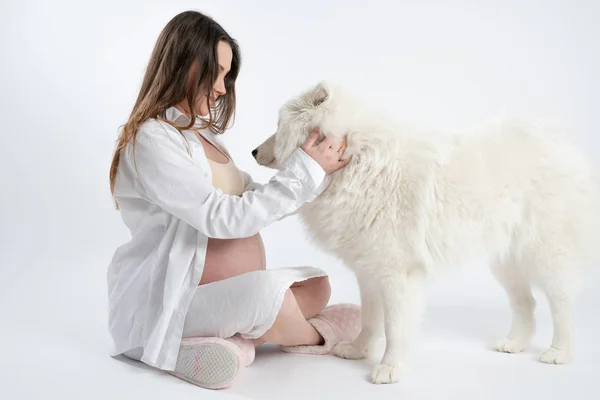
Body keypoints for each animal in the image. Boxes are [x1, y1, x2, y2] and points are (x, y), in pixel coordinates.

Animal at [251, 82, 596, 384]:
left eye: (278, 126)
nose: (253, 151)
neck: (359, 162)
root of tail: (562, 145)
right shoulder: (370, 270)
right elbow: (370, 318)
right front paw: (359, 350)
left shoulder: (398, 274)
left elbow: (394, 327)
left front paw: (389, 370)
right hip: (506, 261)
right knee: (526, 303)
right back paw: (513, 344)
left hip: (547, 254)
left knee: (562, 305)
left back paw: (558, 352)